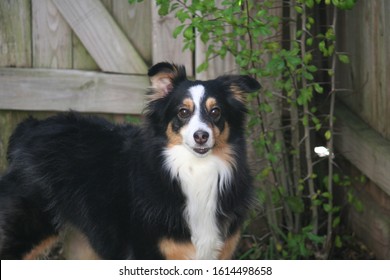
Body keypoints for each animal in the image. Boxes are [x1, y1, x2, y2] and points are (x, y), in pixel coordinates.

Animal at [0, 62, 262, 260]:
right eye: (183, 112)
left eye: (216, 112)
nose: (201, 136)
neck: (194, 171)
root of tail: (30, 126)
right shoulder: (147, 252)